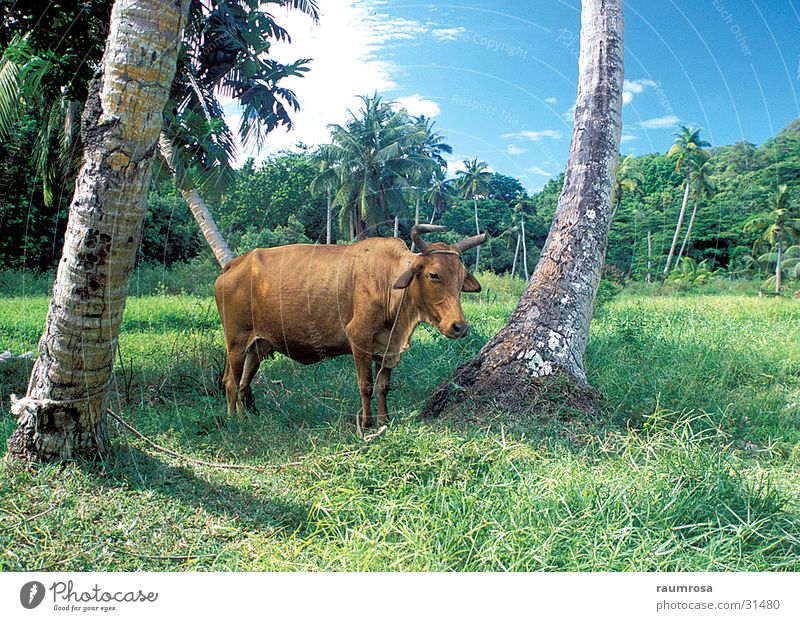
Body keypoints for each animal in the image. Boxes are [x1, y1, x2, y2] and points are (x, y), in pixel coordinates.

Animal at [212, 225, 488, 428]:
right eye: (433, 275)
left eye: (461, 278)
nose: (459, 327)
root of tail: (234, 264)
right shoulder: (359, 338)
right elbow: (366, 385)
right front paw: (367, 423)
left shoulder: (387, 347)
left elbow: (383, 386)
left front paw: (384, 419)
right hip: (236, 342)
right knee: (230, 382)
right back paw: (234, 421)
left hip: (257, 346)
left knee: (244, 383)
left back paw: (249, 418)